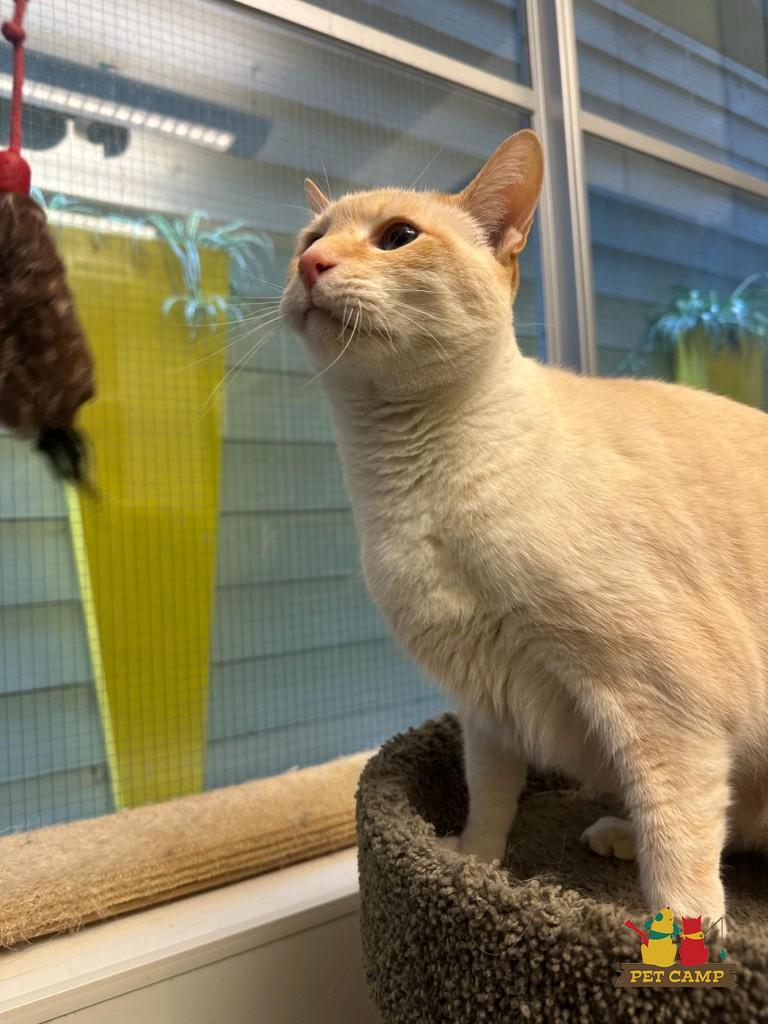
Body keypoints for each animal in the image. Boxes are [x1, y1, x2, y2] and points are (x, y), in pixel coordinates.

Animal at [280, 130, 768, 939]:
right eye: (311, 239)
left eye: (398, 237)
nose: (312, 265)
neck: (411, 485)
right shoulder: (485, 703)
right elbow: (490, 796)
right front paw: (471, 868)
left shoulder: (669, 704)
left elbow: (680, 847)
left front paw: (681, 934)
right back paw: (616, 833)